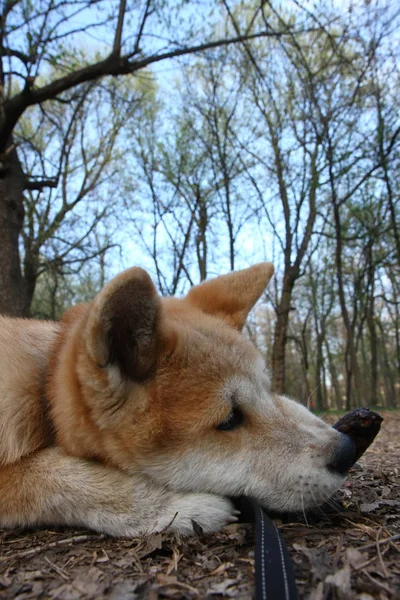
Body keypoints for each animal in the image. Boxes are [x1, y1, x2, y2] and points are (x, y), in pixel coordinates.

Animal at [0, 264, 354, 536]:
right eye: (229, 419)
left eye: (268, 389)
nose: (348, 449)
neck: (42, 386)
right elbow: (56, 477)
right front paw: (179, 507)